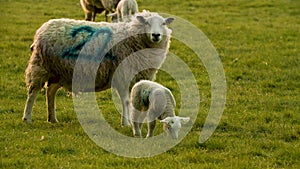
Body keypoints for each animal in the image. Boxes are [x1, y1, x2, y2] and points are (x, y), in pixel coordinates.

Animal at [22, 10, 176, 127]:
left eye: (163, 23)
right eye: (147, 23)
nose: (156, 35)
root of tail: (42, 29)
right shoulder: (123, 74)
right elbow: (126, 101)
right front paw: (126, 123)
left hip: (59, 71)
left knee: (50, 92)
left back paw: (52, 118)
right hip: (40, 67)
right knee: (33, 92)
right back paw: (27, 118)